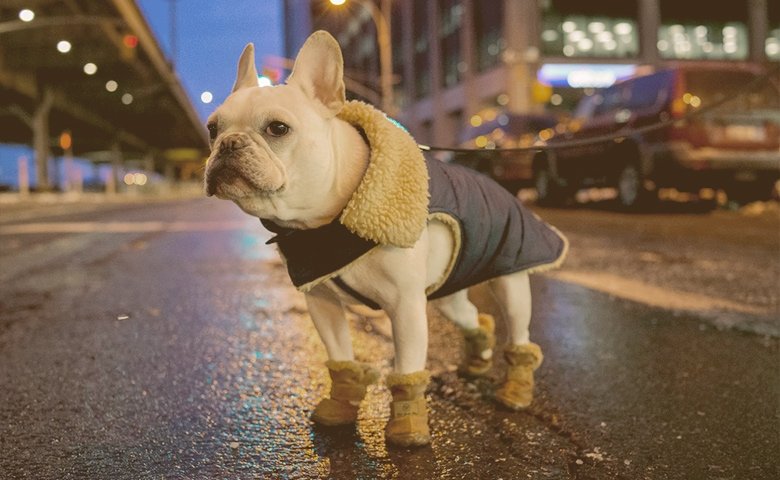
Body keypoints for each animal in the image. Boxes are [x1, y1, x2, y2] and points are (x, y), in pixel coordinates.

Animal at [203, 31, 568, 448]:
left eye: (277, 129)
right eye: (213, 129)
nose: (229, 143)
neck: (324, 222)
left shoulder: (405, 307)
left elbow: (407, 370)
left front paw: (407, 427)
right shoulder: (322, 302)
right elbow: (341, 358)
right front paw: (340, 407)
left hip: (510, 279)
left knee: (518, 330)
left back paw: (515, 389)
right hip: (449, 293)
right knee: (475, 317)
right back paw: (477, 359)